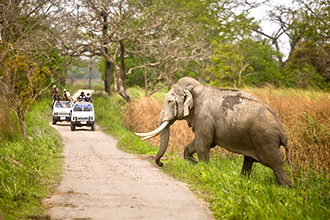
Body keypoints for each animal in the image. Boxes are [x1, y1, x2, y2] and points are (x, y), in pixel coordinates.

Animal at [135, 76, 296, 186]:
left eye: (169, 101)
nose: (161, 164)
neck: (196, 88)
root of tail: (283, 133)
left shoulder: (204, 116)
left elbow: (203, 143)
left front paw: (203, 169)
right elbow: (199, 143)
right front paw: (194, 163)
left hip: (265, 140)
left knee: (275, 164)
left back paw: (286, 187)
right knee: (249, 160)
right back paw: (243, 180)